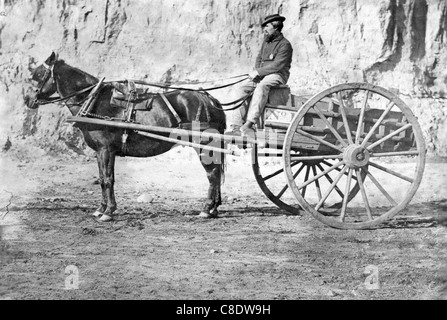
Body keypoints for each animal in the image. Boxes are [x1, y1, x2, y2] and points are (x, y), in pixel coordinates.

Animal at [23, 52, 228, 222]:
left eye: (39, 75)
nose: (27, 99)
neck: (94, 101)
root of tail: (210, 100)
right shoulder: (100, 151)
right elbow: (102, 178)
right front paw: (101, 208)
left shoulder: (106, 150)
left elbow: (108, 179)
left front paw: (108, 212)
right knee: (216, 173)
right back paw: (214, 208)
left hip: (204, 145)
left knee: (212, 174)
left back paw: (206, 209)